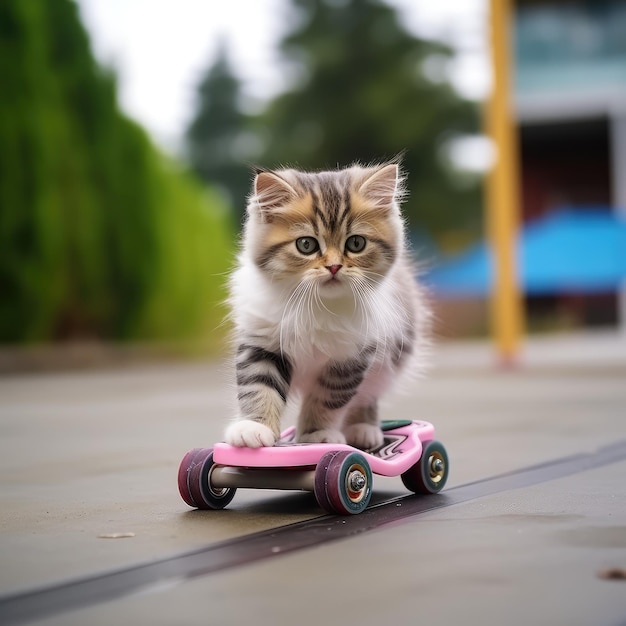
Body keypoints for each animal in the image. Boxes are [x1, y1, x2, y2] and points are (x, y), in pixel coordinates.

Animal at [223, 161, 428, 448]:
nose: (333, 266)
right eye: (306, 245)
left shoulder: (352, 359)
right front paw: (254, 428)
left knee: (366, 396)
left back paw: (363, 429)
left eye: (356, 243)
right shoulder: (262, 342)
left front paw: (315, 435)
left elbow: (327, 400)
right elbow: (259, 386)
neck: (315, 305)